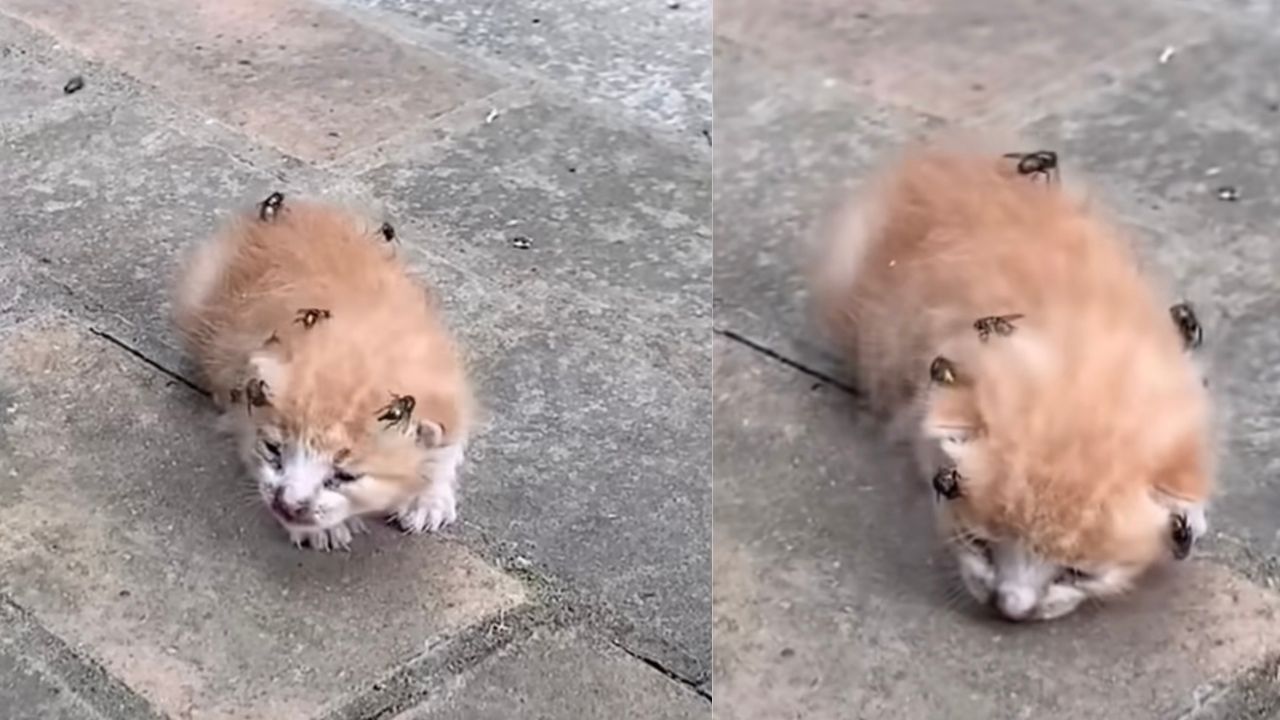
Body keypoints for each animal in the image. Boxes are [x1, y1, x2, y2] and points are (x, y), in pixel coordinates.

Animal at [170, 192, 471, 548]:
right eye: (273, 449)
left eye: (345, 476)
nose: (288, 506)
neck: (361, 352)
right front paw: (318, 530)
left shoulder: (445, 388)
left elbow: (446, 445)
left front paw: (428, 498)